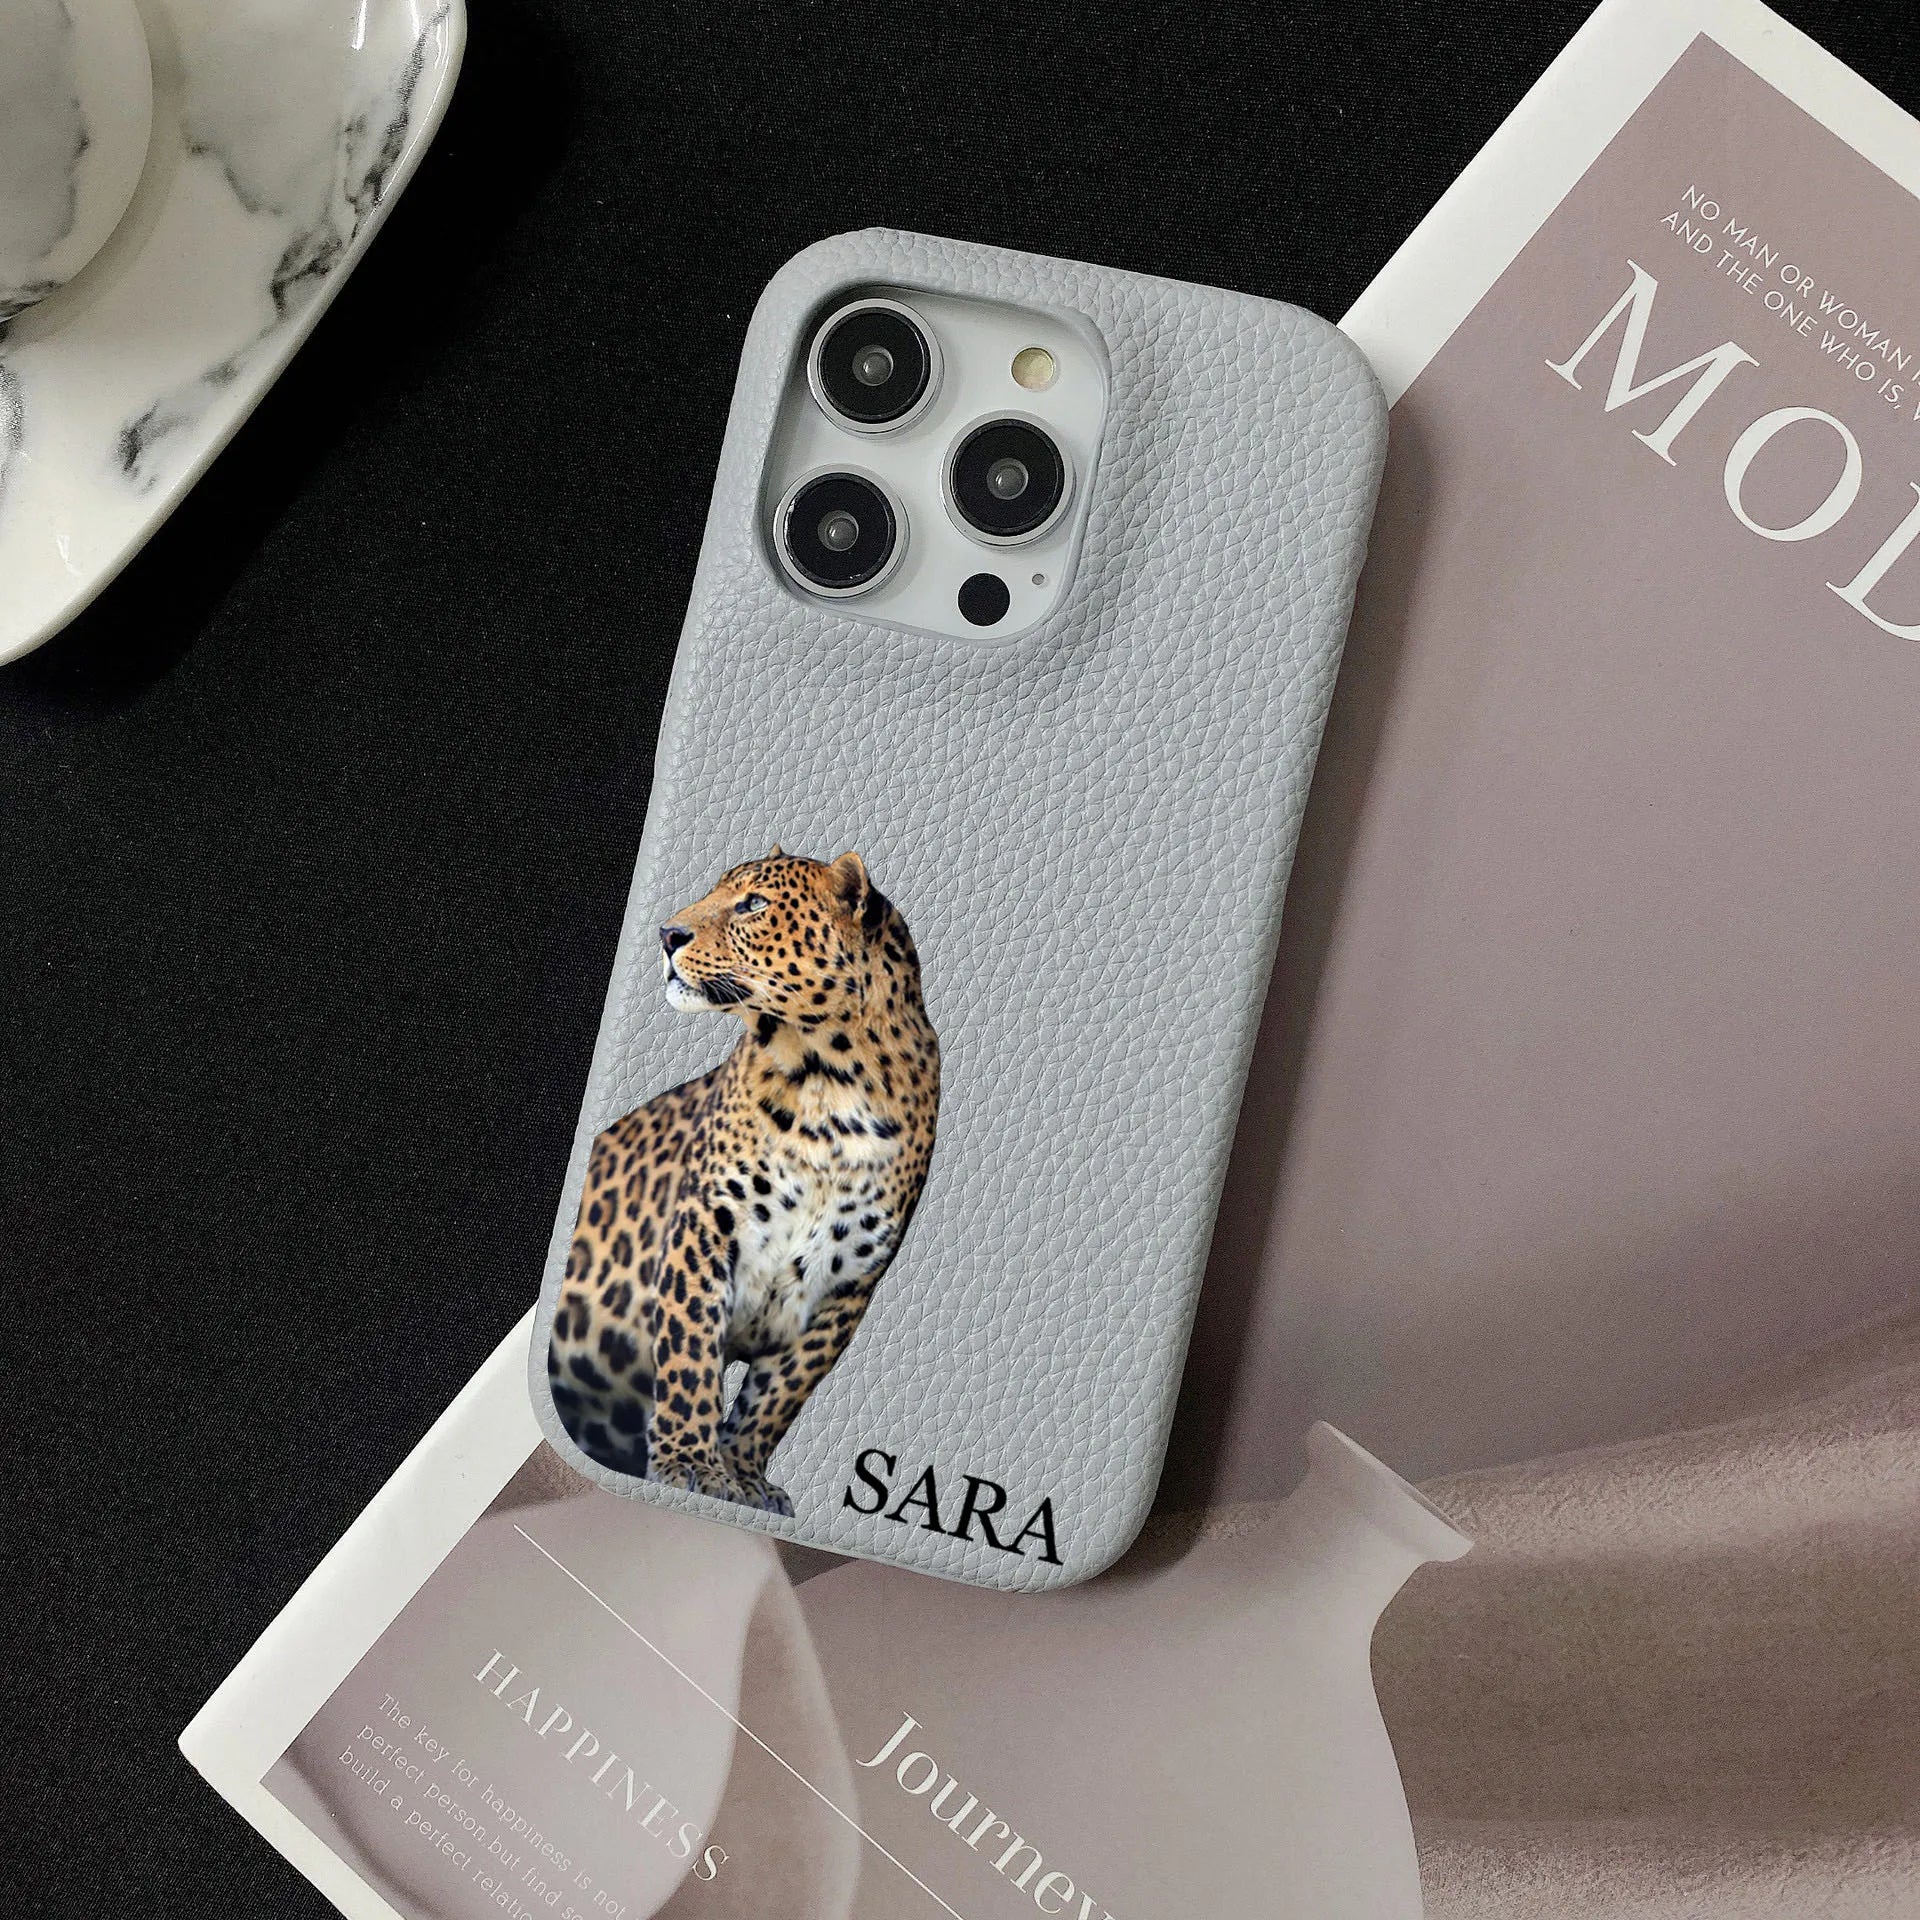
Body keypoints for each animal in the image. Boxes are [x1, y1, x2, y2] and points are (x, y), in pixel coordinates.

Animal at [547, 847, 940, 1516]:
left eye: (753, 905)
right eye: (715, 891)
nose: (666, 934)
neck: (829, 1080)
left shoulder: (849, 1282)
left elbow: (780, 1391)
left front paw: (741, 1474)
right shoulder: (705, 1226)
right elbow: (690, 1356)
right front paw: (689, 1464)